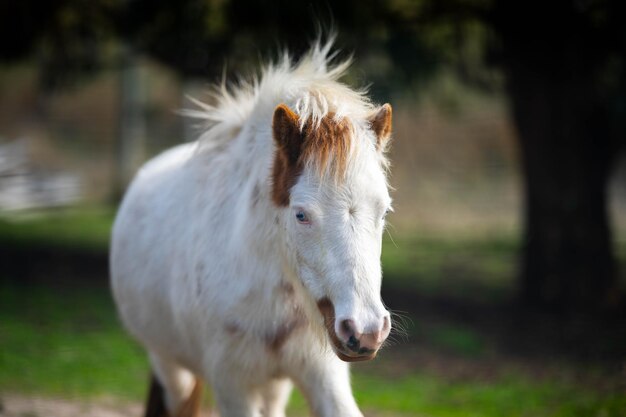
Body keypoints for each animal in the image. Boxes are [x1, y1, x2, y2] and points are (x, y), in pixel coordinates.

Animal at [109, 41, 392, 416]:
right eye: (301, 215)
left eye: (383, 211)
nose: (365, 331)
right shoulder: (232, 385)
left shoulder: (323, 377)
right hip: (170, 366)